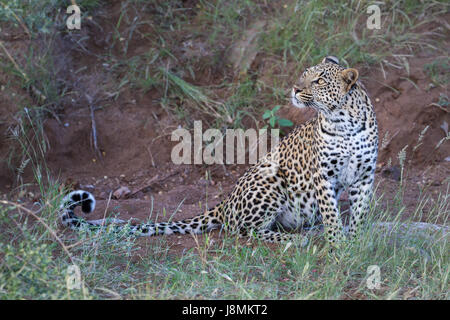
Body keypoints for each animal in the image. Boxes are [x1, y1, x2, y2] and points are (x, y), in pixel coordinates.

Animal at [59, 55, 376, 246]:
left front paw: (355, 240)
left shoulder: (365, 176)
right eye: (304, 75)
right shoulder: (323, 176)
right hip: (269, 178)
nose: (295, 90)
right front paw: (338, 242)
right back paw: (296, 239)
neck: (343, 122)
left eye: (320, 80)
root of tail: (225, 203)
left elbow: (359, 212)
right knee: (244, 229)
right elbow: (332, 213)